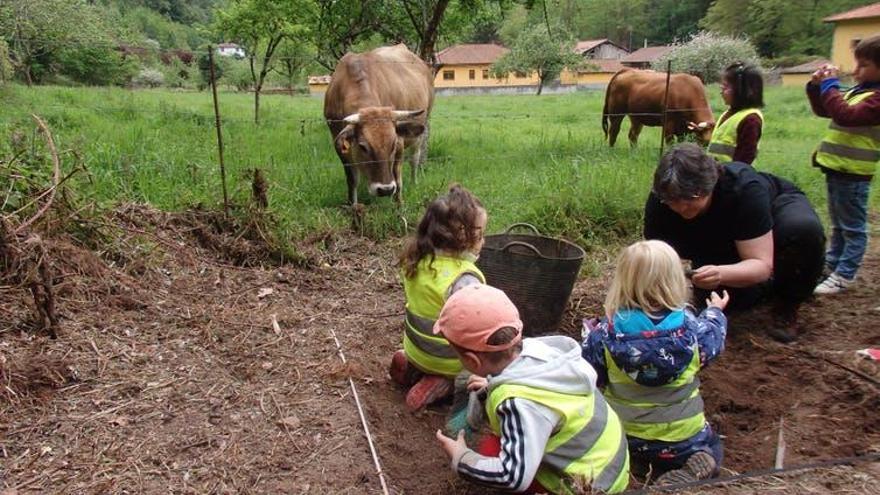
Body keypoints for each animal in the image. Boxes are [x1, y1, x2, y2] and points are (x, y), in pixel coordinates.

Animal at [324, 43, 434, 204]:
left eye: (392, 145)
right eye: (362, 146)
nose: (385, 189)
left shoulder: (399, 143)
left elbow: (397, 177)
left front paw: (399, 203)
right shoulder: (338, 144)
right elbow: (352, 180)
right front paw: (353, 204)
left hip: (421, 131)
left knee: (415, 159)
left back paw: (414, 183)